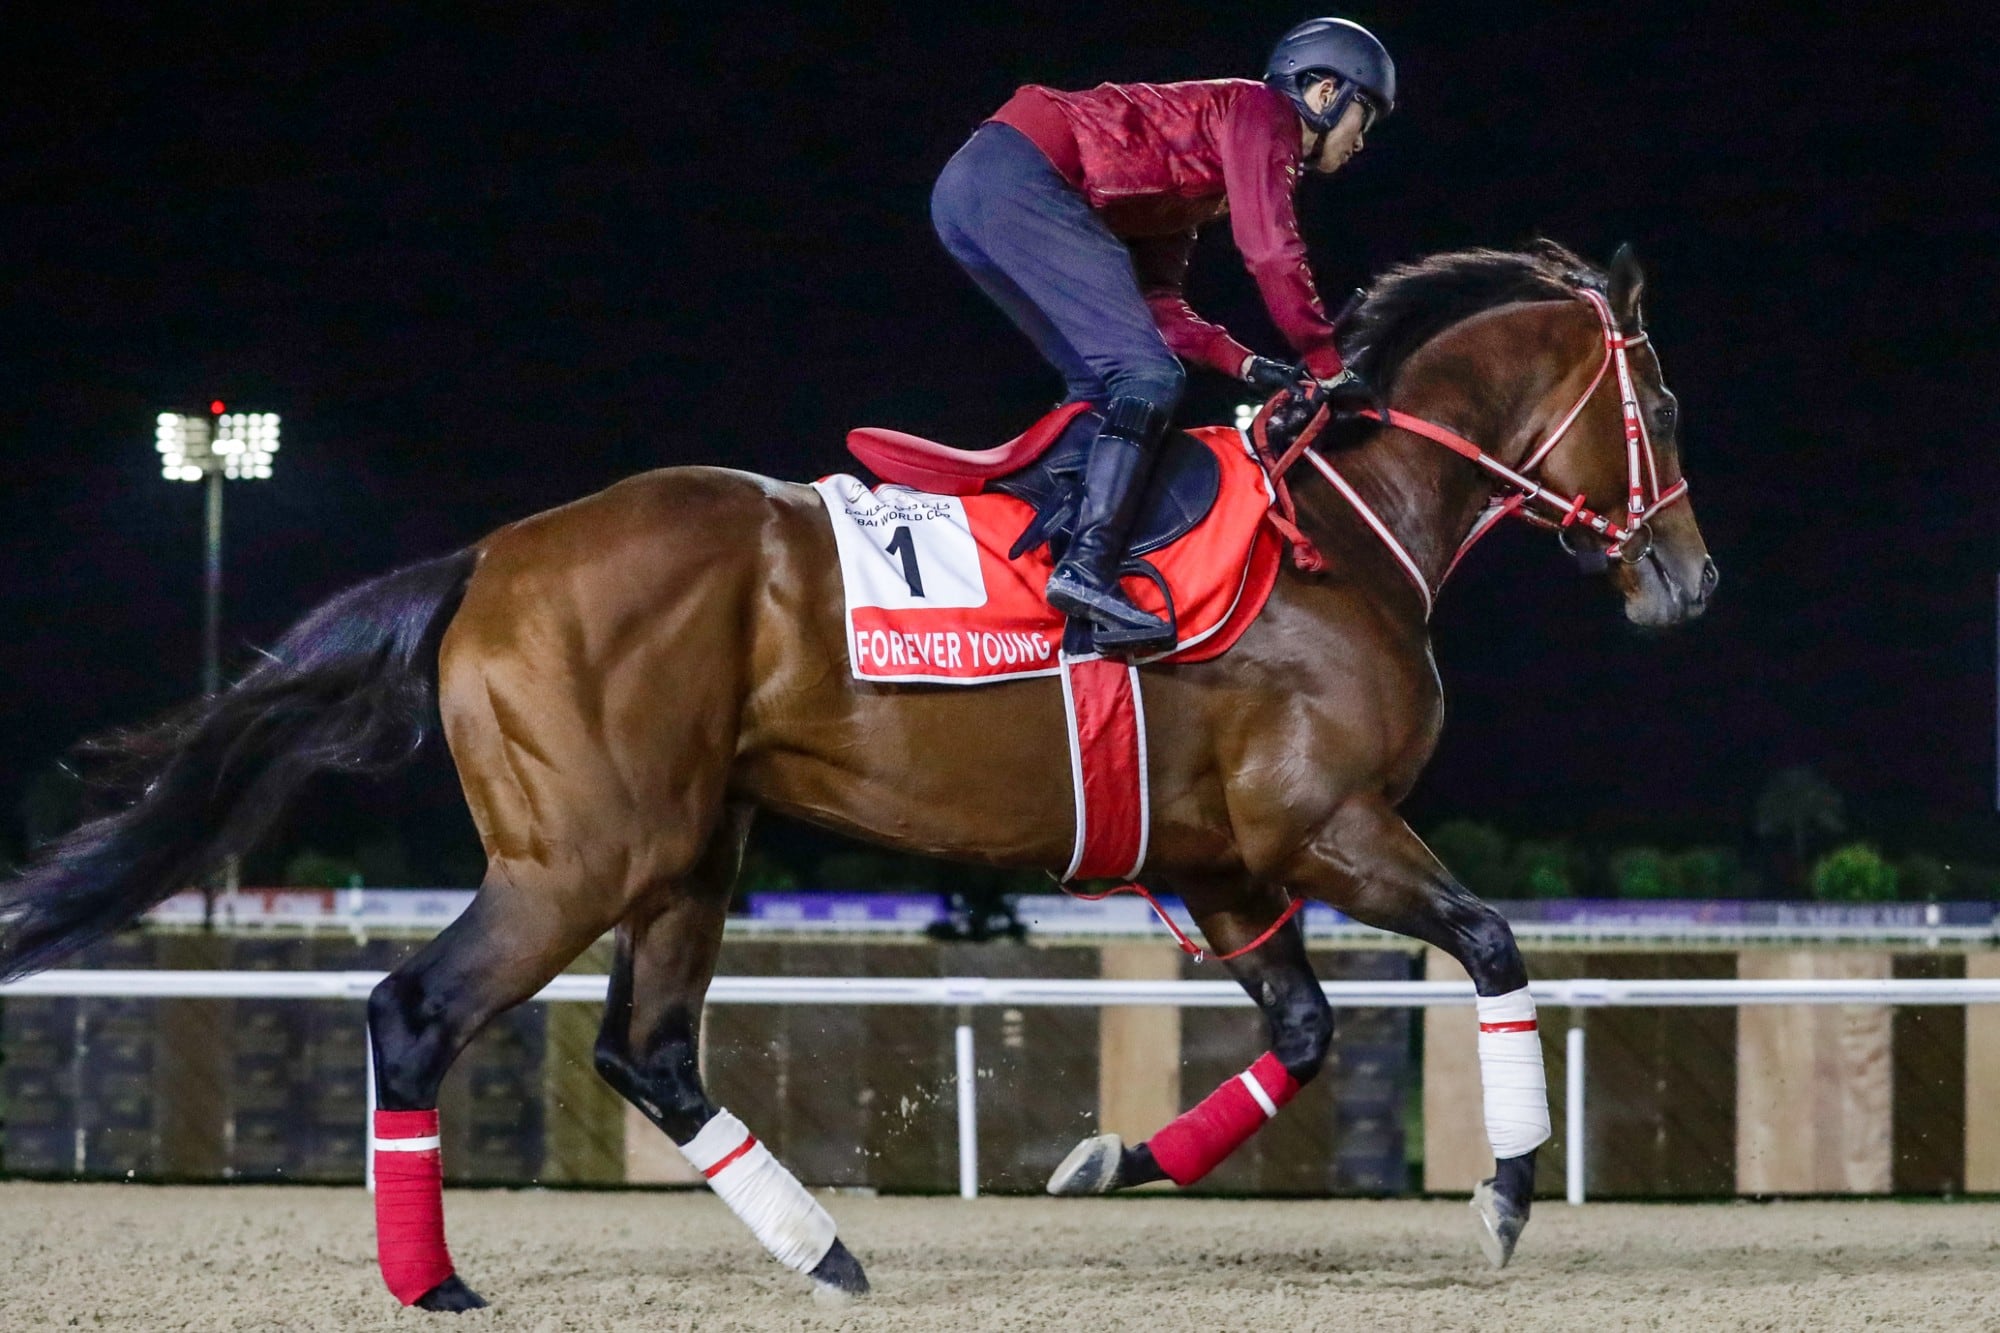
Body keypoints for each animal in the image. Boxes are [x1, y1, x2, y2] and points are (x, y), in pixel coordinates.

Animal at [0, 240, 1714, 1311]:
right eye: (1663, 405)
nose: (1688, 578)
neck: (1345, 528)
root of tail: (490, 558)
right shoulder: (1327, 825)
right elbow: (1487, 945)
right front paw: (1505, 1192)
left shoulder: (1222, 859)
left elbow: (1296, 1032)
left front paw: (1109, 1157)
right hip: (579, 855)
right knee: (421, 1012)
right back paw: (437, 1282)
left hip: (693, 847)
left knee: (648, 1051)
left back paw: (821, 1248)